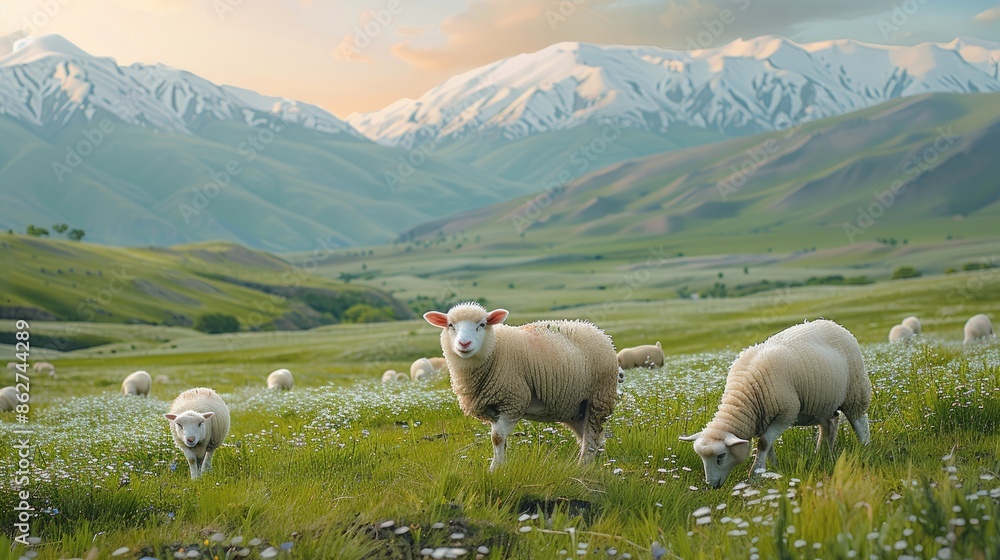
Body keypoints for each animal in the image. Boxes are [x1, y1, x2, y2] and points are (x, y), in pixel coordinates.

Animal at [424, 302, 620, 471]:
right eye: (450, 325)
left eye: (482, 324)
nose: (464, 344)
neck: (494, 350)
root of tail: (599, 332)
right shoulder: (494, 409)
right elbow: (501, 441)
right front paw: (500, 466)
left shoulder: (514, 400)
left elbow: (497, 438)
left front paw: (493, 470)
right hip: (577, 408)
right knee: (593, 438)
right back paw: (595, 465)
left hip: (599, 398)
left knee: (591, 438)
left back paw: (583, 467)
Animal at [680, 320, 871, 488]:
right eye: (702, 458)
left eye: (721, 456)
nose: (711, 486)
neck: (743, 397)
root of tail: (833, 323)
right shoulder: (764, 418)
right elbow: (768, 445)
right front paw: (772, 468)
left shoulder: (786, 413)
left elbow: (764, 443)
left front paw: (755, 475)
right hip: (821, 404)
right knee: (830, 424)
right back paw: (823, 453)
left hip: (855, 391)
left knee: (859, 421)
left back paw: (864, 447)